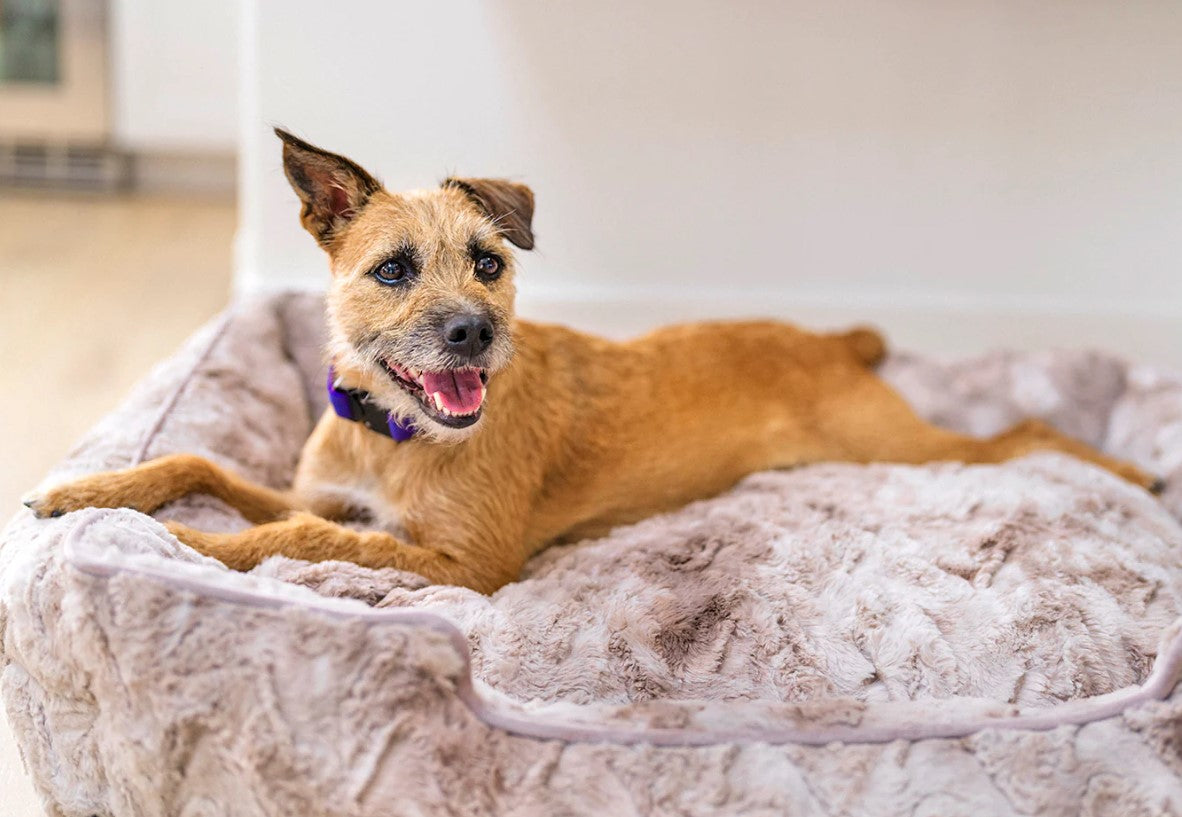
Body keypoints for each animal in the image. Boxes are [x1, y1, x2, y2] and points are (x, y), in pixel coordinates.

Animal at [27, 127, 1163, 593]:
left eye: (489, 262)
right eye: (394, 269)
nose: (473, 333)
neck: (393, 432)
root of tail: (829, 339)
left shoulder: (467, 566)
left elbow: (299, 539)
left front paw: (189, 545)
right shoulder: (318, 488)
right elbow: (207, 464)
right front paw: (89, 490)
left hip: (904, 449)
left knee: (1024, 430)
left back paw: (1129, 470)